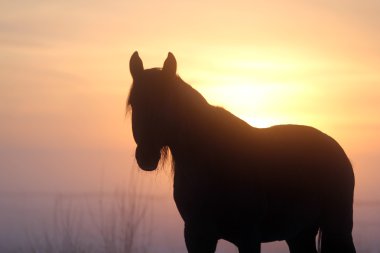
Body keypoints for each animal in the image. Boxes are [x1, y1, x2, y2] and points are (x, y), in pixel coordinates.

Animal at [127, 51, 356, 253]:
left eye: (166, 101)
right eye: (134, 104)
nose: (146, 157)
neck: (213, 163)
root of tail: (336, 148)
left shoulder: (248, 237)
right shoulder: (197, 235)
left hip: (337, 228)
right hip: (299, 233)